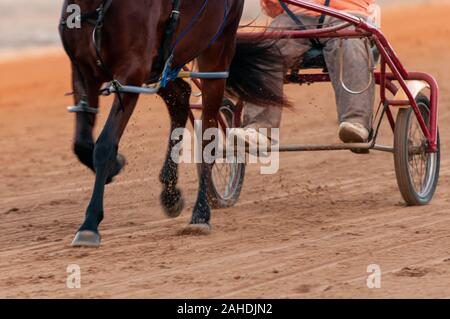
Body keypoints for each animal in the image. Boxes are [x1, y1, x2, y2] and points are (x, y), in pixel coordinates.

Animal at [59, 0, 284, 248]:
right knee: (181, 97)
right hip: (165, 63)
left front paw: (89, 224)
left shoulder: (131, 73)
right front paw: (116, 166)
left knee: (208, 136)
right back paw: (170, 194)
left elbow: (104, 145)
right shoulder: (84, 70)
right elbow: (81, 145)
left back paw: (200, 215)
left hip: (217, 52)